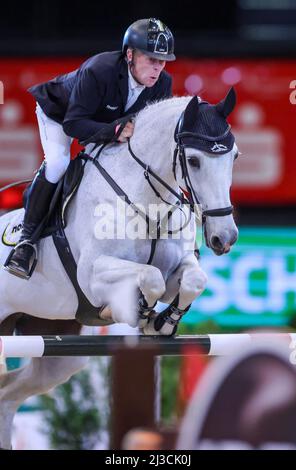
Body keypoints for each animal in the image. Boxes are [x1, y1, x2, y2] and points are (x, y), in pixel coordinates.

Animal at [0, 89, 238, 448]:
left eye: (234, 157)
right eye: (195, 161)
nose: (225, 238)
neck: (147, 199)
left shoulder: (178, 268)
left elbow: (192, 279)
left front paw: (162, 322)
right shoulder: (93, 274)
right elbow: (150, 277)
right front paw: (135, 311)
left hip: (57, 349)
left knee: (9, 393)